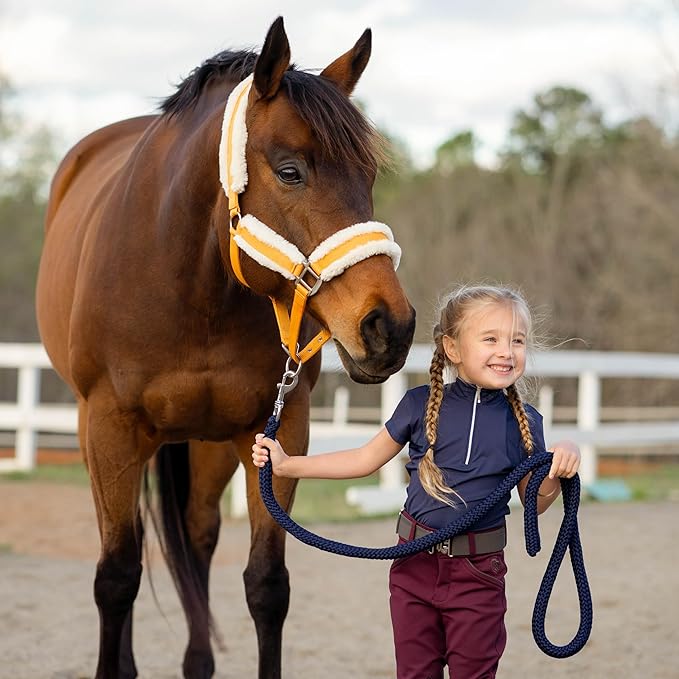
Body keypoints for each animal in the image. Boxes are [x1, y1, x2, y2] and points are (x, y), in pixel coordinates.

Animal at [36, 16, 415, 679]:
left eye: (368, 178)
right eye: (290, 171)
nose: (388, 327)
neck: (193, 281)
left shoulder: (279, 426)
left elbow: (266, 584)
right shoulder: (111, 427)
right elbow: (116, 576)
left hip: (207, 443)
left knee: (197, 537)